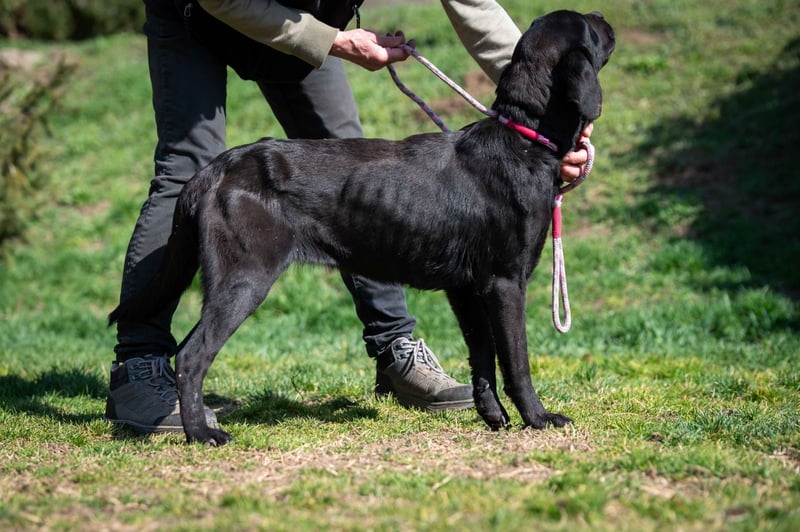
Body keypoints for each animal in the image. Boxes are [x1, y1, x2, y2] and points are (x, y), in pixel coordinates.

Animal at [110, 10, 615, 445]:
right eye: (588, 27)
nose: (603, 16)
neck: (522, 140)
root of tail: (216, 168)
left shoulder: (467, 289)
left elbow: (483, 358)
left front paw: (493, 417)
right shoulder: (505, 282)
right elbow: (516, 361)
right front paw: (538, 418)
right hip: (244, 278)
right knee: (191, 356)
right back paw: (201, 432)